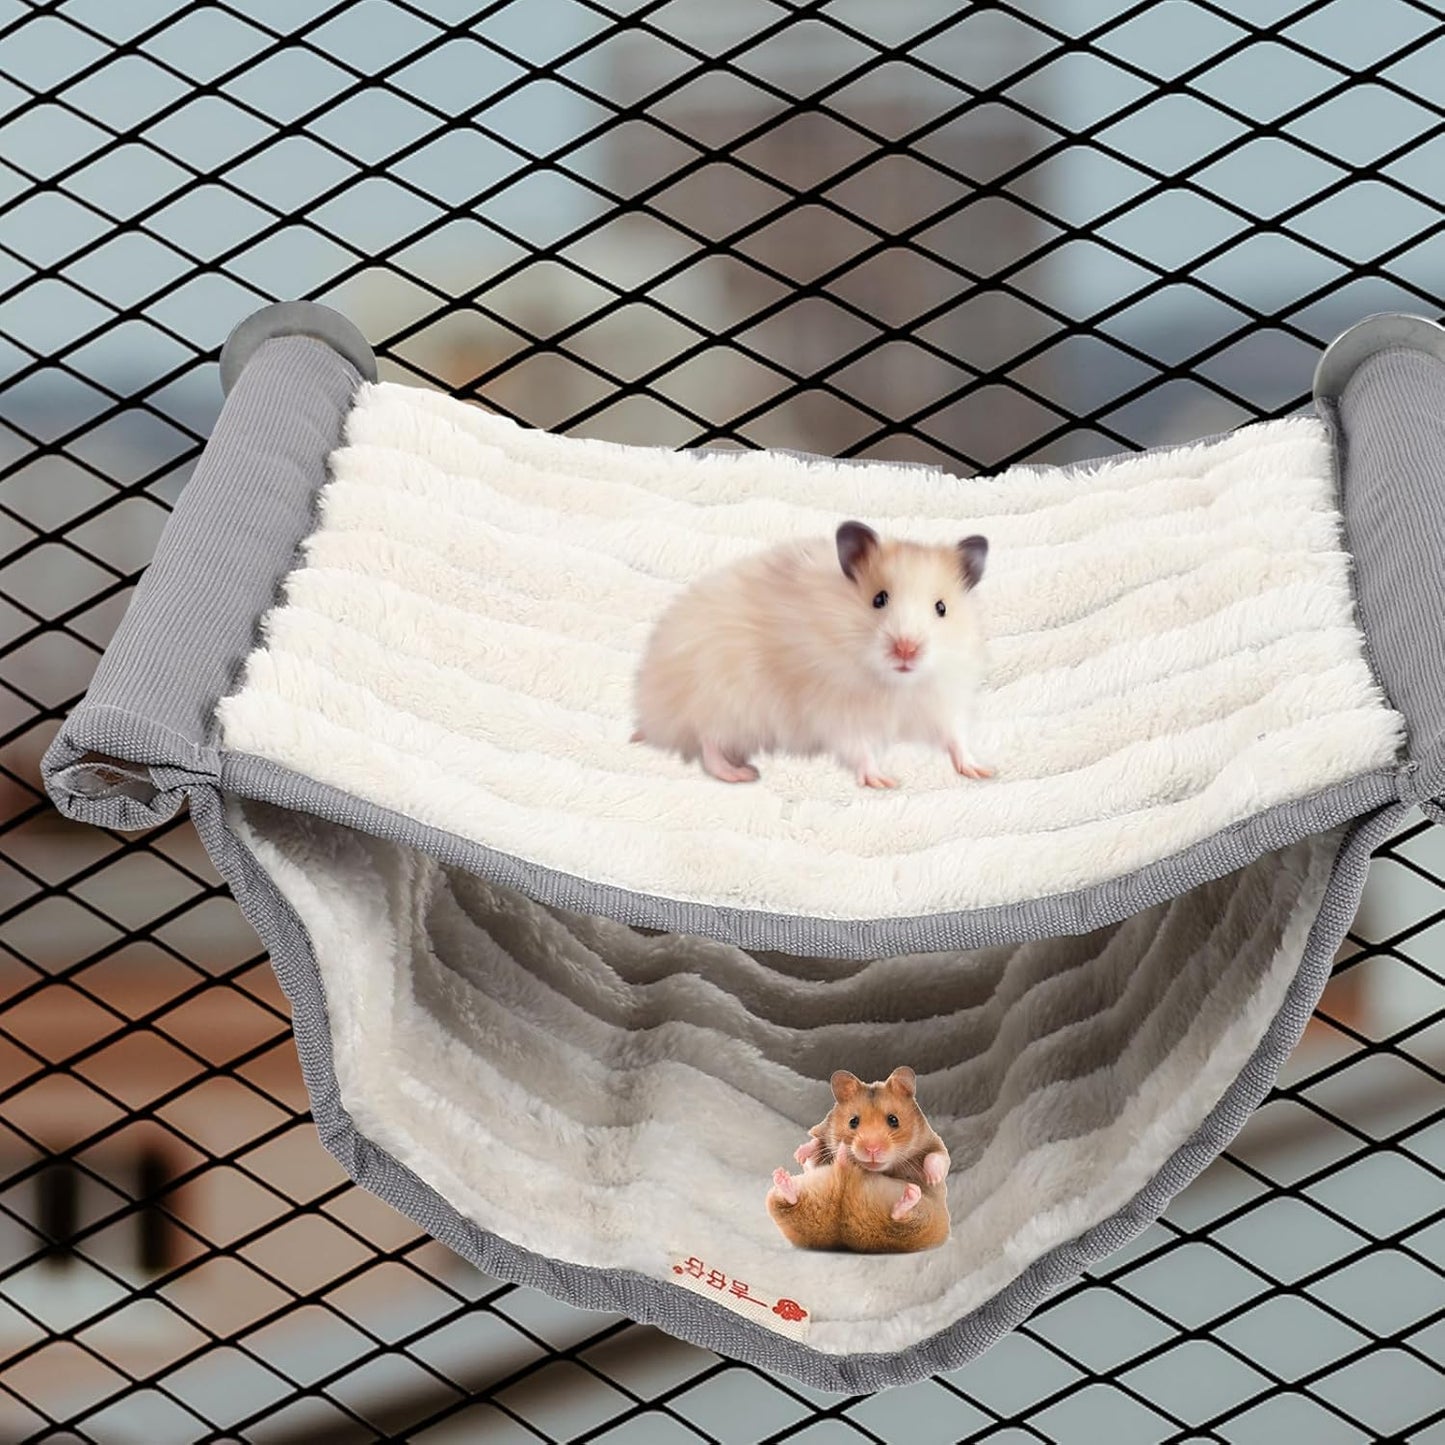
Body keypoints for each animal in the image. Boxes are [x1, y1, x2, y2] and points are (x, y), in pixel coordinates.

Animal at [632, 520, 990, 788]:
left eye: (941, 608)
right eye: (879, 599)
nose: (906, 649)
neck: (895, 684)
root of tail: (652, 713)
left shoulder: (940, 701)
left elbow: (956, 738)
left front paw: (982, 771)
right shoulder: (838, 711)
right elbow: (860, 749)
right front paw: (885, 782)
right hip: (722, 700)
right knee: (707, 743)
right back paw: (742, 773)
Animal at [766, 1067, 951, 1253]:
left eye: (894, 1120)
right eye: (853, 1121)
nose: (872, 1149)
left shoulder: (934, 1142)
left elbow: (936, 1157)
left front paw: (932, 1178)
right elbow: (816, 1145)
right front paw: (799, 1154)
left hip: (922, 1221)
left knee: (900, 1219)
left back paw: (911, 1192)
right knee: (791, 1200)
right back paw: (783, 1177)